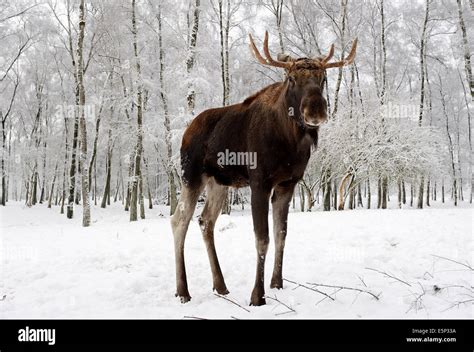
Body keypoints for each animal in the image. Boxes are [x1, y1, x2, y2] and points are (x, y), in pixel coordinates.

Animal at [170, 31, 356, 306]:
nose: (316, 110)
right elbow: (262, 238)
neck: (291, 143)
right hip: (191, 176)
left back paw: (220, 285)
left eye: (323, 78)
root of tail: (186, 131)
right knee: (179, 220)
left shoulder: (288, 183)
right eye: (291, 79)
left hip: (218, 182)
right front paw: (257, 295)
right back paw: (183, 291)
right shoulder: (260, 182)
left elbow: (281, 234)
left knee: (205, 221)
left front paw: (277, 283)